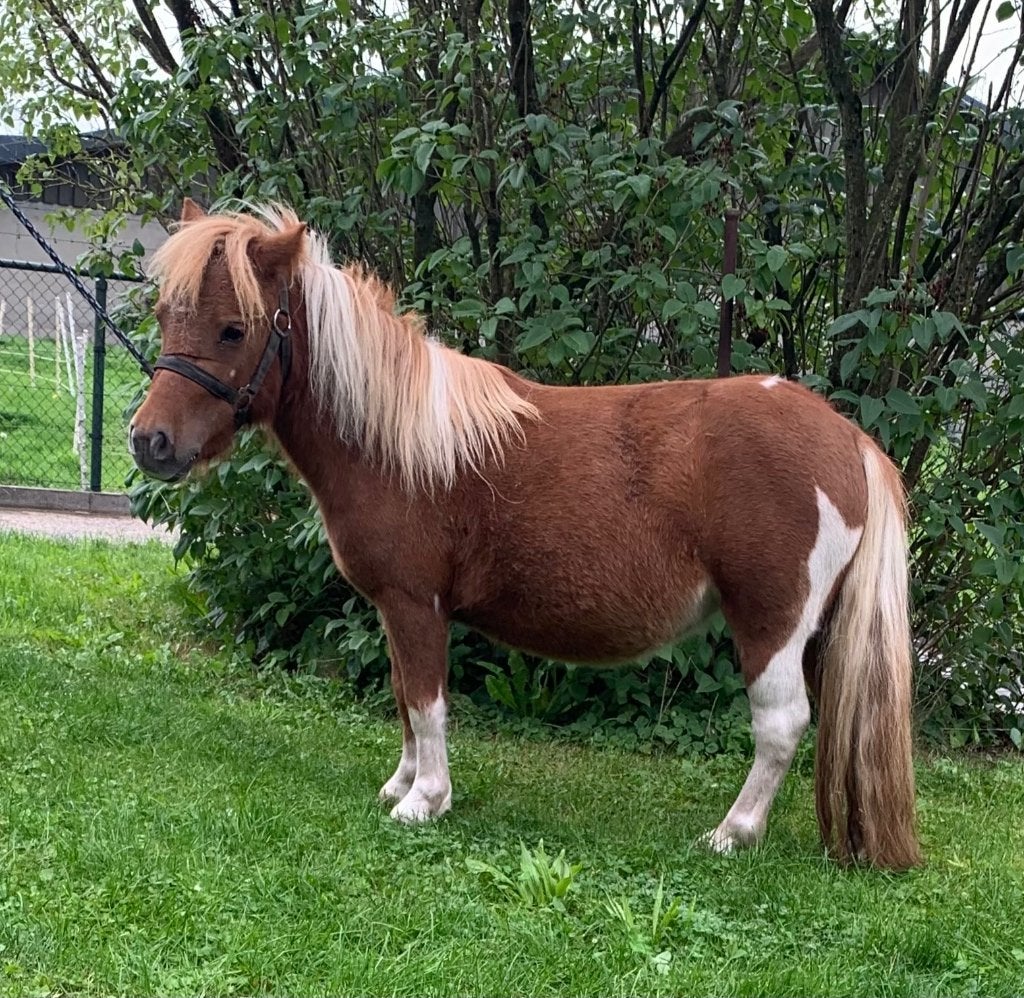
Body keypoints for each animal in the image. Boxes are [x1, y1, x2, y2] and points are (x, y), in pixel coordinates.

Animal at [129, 199, 921, 870]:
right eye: (166, 314)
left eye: (234, 328)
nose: (149, 442)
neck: (398, 440)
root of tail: (849, 438)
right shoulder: (395, 608)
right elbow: (404, 695)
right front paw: (402, 783)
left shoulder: (415, 603)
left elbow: (426, 699)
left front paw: (425, 801)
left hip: (771, 622)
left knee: (781, 724)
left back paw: (733, 832)